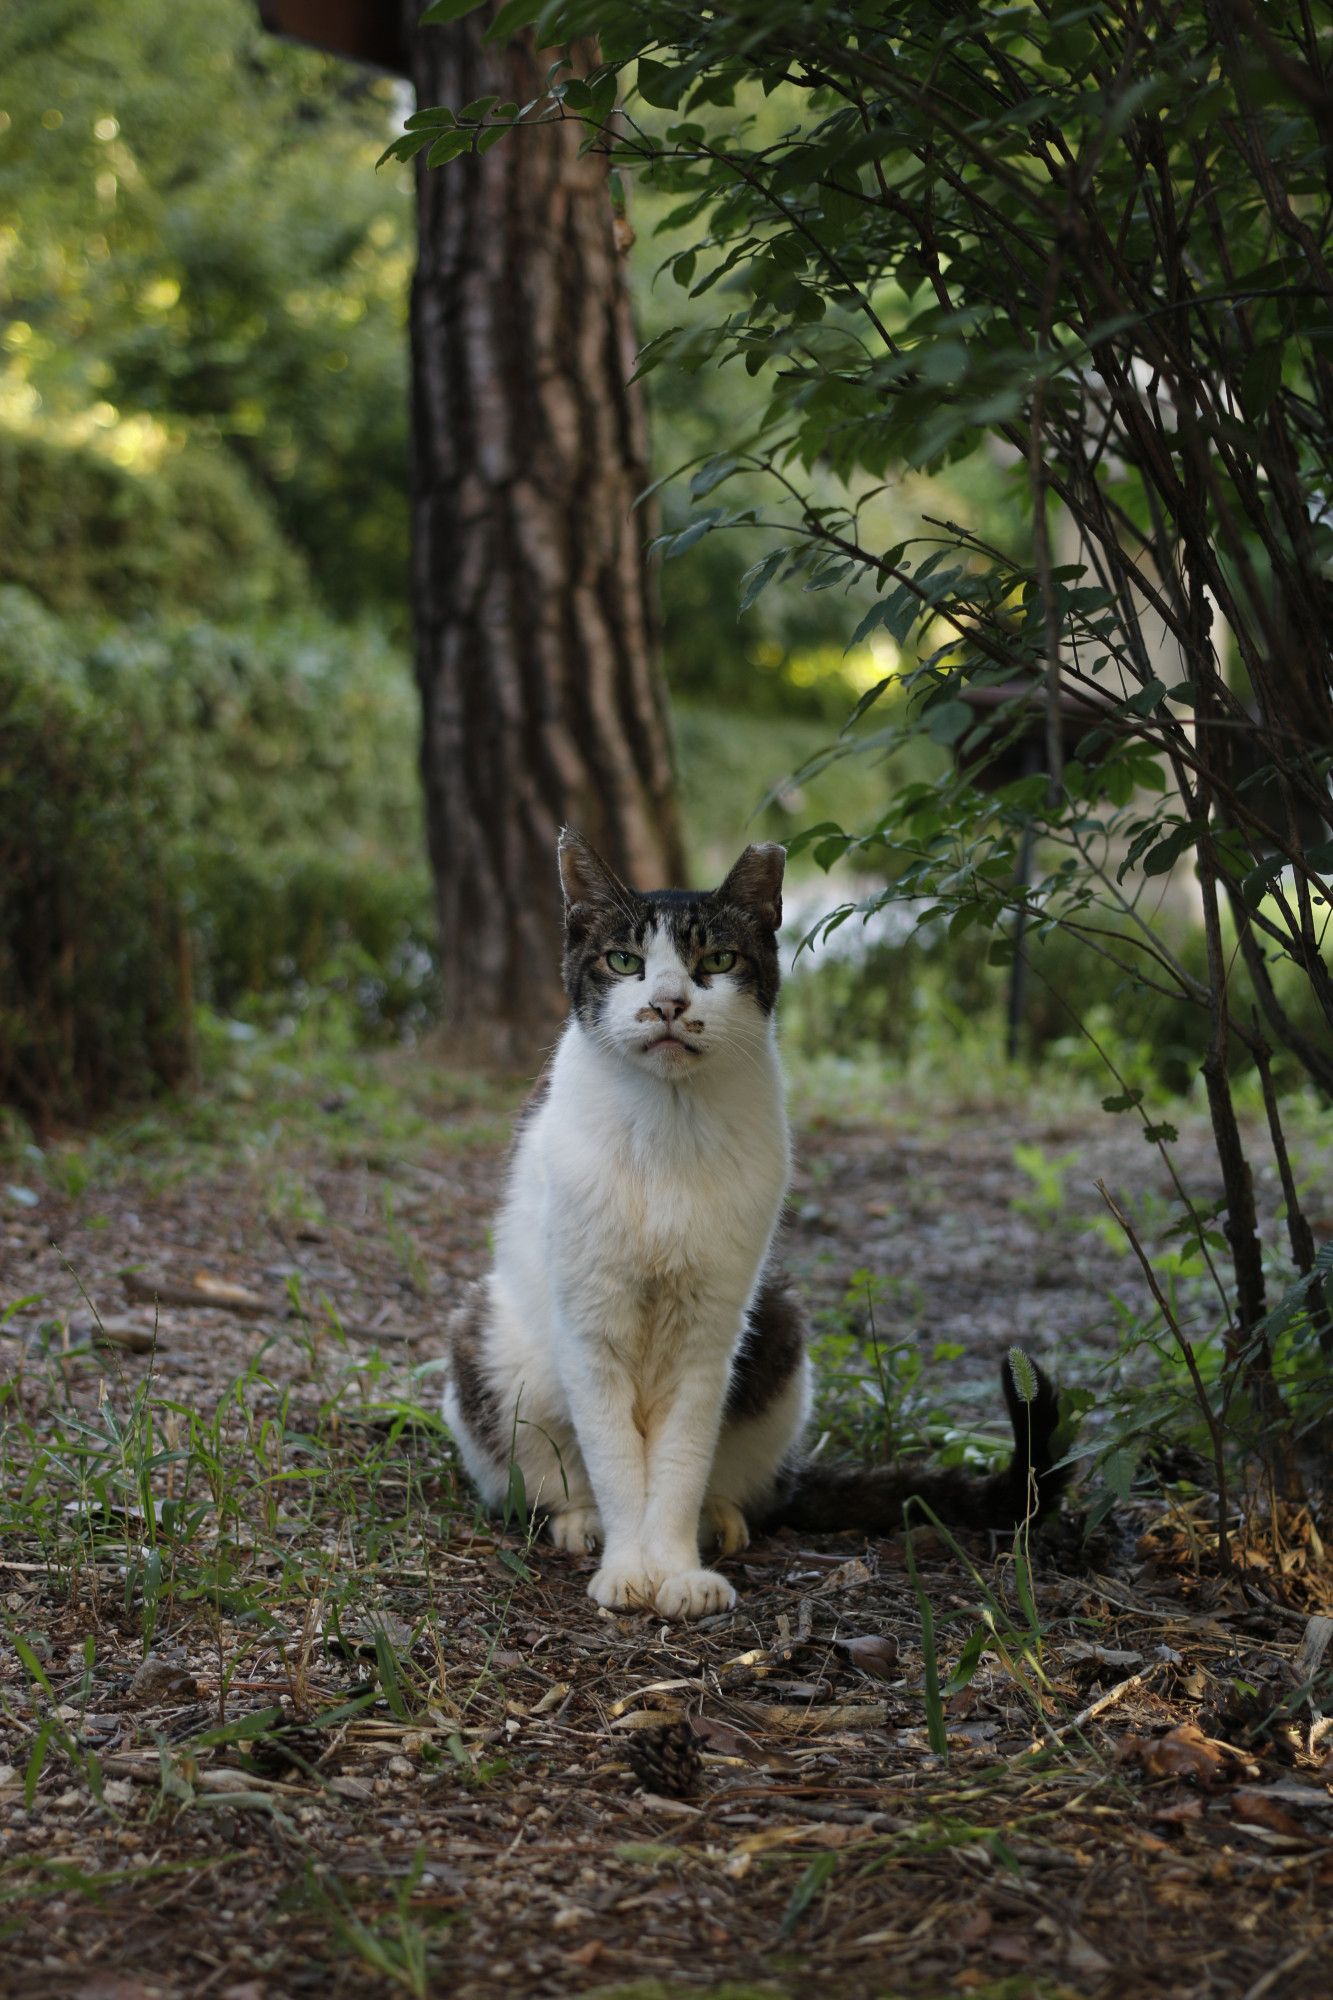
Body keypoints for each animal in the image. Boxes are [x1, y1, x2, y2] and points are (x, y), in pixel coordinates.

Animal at [440, 828, 1064, 1624]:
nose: (668, 1002)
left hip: (779, 1322)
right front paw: (628, 1568)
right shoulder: (591, 1320)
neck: (668, 1128)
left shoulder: (715, 1321)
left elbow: (678, 1459)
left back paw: (718, 1520)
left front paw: (677, 1570)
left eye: (717, 962)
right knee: (552, 1471)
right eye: (624, 961)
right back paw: (580, 1521)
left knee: (732, 1477)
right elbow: (617, 1461)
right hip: (486, 1338)